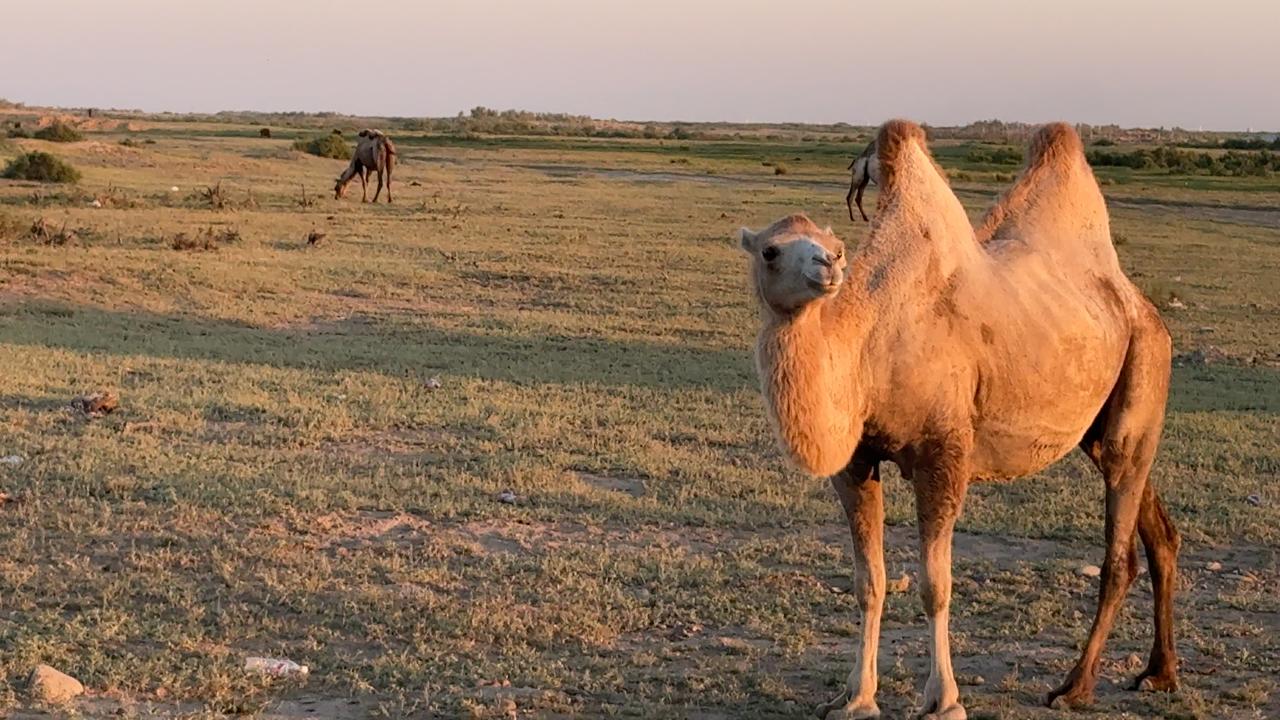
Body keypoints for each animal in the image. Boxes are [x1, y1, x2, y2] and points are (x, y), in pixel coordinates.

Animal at [742, 120, 1177, 712]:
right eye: (770, 250)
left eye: (837, 247)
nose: (828, 266)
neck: (871, 346)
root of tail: (1142, 306)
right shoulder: (855, 461)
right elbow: (869, 582)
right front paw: (855, 698)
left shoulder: (944, 451)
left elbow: (935, 585)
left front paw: (944, 701)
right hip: (1107, 423)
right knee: (1159, 530)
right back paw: (1161, 673)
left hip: (1146, 365)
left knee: (1119, 552)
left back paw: (1075, 686)